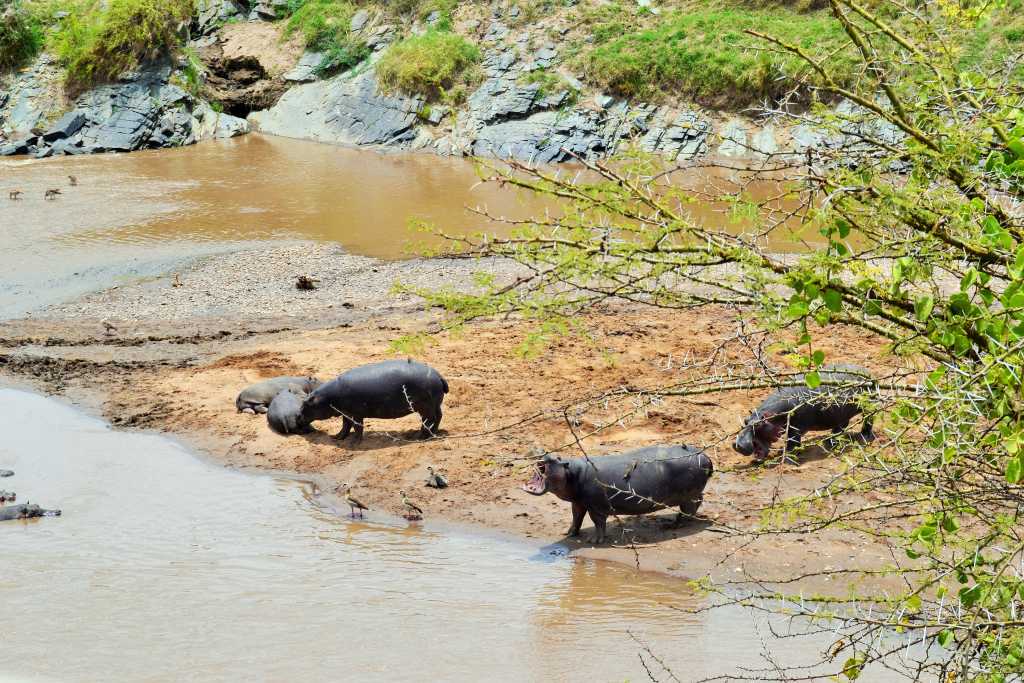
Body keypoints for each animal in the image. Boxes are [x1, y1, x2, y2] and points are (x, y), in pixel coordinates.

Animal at [299, 358, 452, 444]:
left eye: (305, 404)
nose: (297, 415)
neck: (326, 398)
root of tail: (439, 375)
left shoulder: (356, 414)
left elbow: (357, 427)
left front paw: (354, 443)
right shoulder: (346, 413)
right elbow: (345, 426)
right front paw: (337, 438)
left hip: (425, 407)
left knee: (428, 420)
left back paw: (419, 437)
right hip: (435, 405)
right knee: (438, 417)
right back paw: (432, 433)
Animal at [520, 444, 712, 544]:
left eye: (557, 459)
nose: (542, 451)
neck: (572, 472)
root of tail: (705, 456)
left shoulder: (596, 507)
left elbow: (597, 523)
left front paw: (594, 541)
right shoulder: (579, 502)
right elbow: (576, 517)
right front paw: (568, 533)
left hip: (689, 496)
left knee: (690, 507)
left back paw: (674, 525)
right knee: (696, 504)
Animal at [733, 362, 876, 458]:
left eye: (759, 424)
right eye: (745, 421)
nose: (737, 445)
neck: (774, 414)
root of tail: (868, 372)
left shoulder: (796, 427)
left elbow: (793, 441)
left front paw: (788, 457)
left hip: (869, 406)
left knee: (869, 419)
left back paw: (865, 436)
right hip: (840, 413)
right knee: (841, 426)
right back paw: (830, 442)